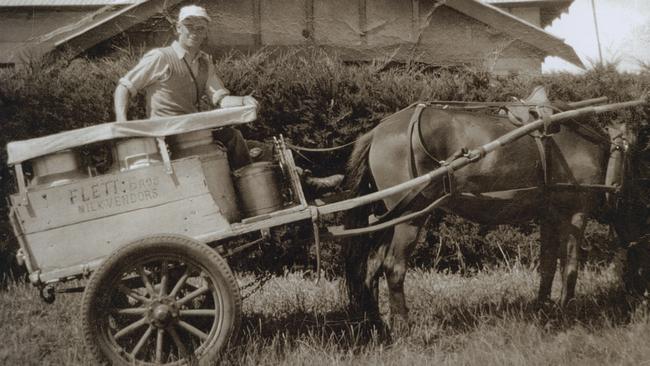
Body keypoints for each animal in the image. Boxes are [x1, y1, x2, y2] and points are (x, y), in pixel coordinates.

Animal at [340, 89, 636, 332]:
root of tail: (378, 131)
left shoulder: (549, 216)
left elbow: (548, 265)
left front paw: (543, 309)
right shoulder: (575, 212)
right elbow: (571, 266)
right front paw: (566, 313)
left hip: (391, 218)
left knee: (373, 265)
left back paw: (377, 324)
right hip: (409, 218)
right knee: (393, 267)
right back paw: (403, 326)